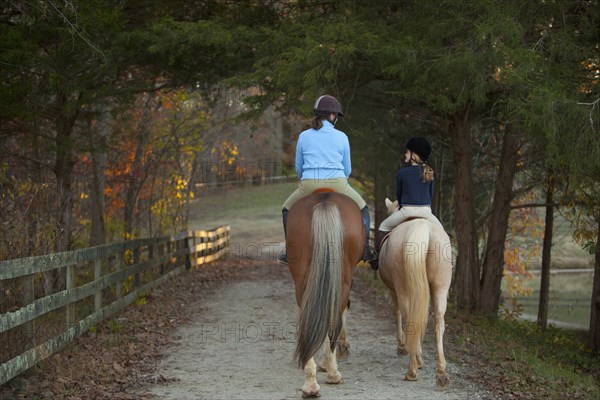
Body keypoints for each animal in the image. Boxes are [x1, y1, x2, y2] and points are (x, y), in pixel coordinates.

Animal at [288, 191, 366, 396]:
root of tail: (324, 200)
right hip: (344, 279)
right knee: (334, 321)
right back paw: (332, 374)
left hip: (302, 280)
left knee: (309, 319)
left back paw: (310, 384)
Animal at [378, 198, 452, 390]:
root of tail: (420, 225)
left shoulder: (393, 290)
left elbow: (397, 313)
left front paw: (403, 347)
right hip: (440, 288)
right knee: (438, 322)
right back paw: (441, 373)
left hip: (403, 288)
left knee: (408, 317)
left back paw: (412, 369)